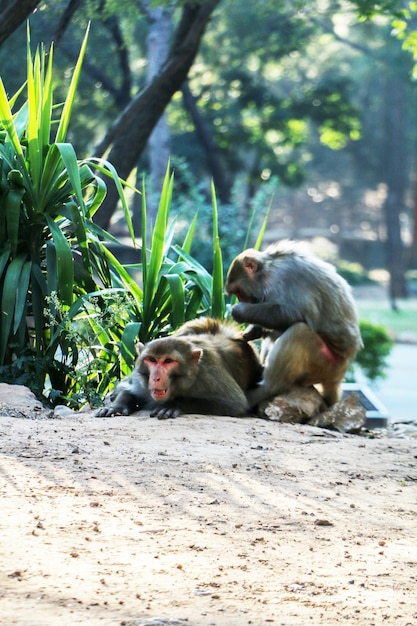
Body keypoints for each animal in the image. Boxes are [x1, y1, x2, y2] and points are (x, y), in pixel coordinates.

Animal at [96, 316, 262, 420]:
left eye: (168, 361)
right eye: (152, 360)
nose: (156, 378)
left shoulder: (209, 375)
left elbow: (234, 404)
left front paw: (173, 405)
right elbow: (129, 388)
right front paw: (117, 406)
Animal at [224, 239, 360, 404]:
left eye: (238, 291)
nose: (239, 300)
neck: (267, 270)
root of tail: (339, 375)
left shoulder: (282, 276)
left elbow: (291, 314)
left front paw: (239, 311)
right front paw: (253, 330)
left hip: (325, 364)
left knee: (299, 331)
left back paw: (267, 388)